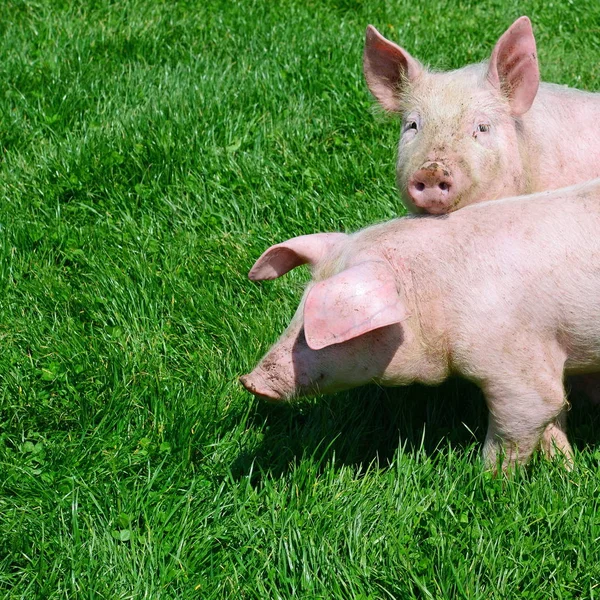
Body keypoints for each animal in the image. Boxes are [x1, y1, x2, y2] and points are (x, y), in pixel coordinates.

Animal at [240, 178, 600, 468]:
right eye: (297, 312)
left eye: (315, 331)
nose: (249, 381)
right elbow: (556, 415)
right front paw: (566, 471)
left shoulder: (513, 359)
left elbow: (530, 414)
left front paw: (488, 482)